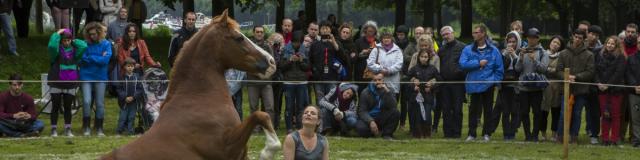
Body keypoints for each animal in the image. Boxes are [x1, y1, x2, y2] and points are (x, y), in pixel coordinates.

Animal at [100, 9, 280, 159]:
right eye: (239, 38)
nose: (271, 62)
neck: (197, 98)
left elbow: (261, 115)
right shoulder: (225, 148)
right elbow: (260, 115)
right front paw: (268, 150)